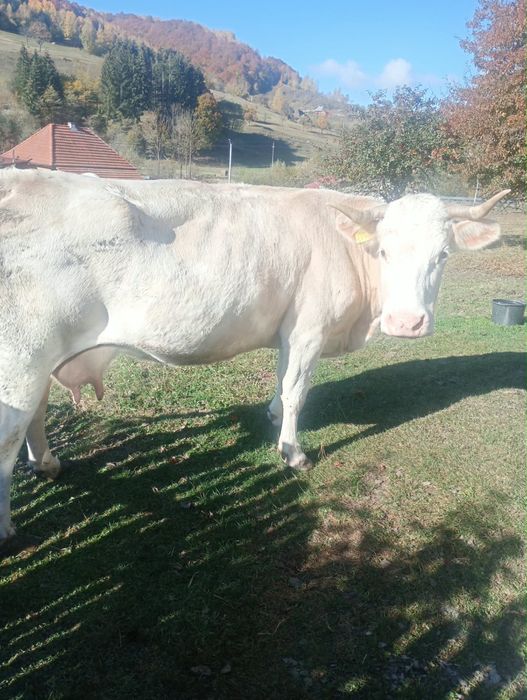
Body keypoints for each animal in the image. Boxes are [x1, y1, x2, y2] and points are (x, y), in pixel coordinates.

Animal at [0, 168, 509, 541]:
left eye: (443, 255)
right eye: (383, 251)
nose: (407, 322)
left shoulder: (289, 330)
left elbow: (283, 382)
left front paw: (272, 415)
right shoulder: (309, 329)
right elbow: (298, 391)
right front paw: (292, 452)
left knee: (37, 411)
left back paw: (46, 463)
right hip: (21, 355)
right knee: (10, 433)